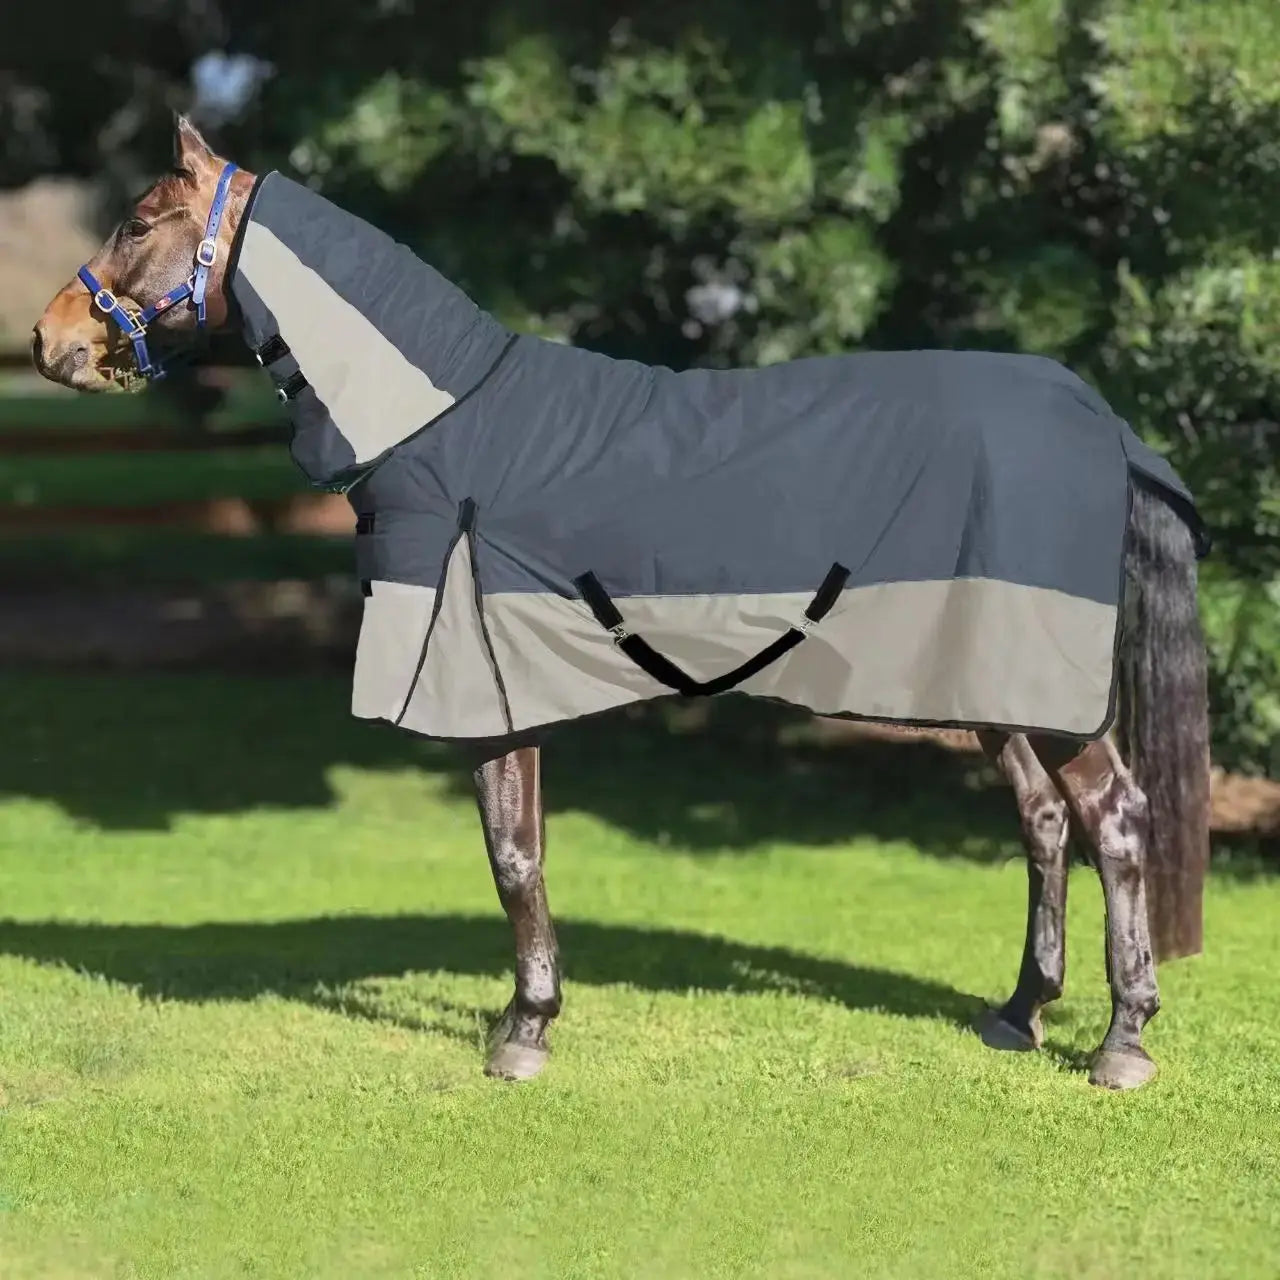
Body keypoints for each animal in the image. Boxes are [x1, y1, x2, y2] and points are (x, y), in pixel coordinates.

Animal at [31, 115, 1211, 1090]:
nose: (49, 342)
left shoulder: (484, 693)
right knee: (1044, 821)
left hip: (1046, 692)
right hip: (992, 685)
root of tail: (1096, 417)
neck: (445, 422)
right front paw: (531, 1015)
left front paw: (522, 1033)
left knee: (1113, 818)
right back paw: (1018, 1011)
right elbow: (523, 853)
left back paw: (1120, 1043)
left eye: (139, 221)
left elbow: (512, 857)